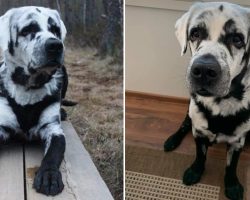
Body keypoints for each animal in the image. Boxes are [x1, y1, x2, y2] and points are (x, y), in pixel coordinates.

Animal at [0, 6, 68, 197]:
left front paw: (49, 176)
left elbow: (52, 154)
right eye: (27, 29)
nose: (55, 45)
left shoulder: (53, 130)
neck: (28, 89)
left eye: (55, 30)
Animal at [163, 1, 250, 200]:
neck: (220, 105)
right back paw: (173, 139)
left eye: (237, 39)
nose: (203, 70)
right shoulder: (199, 132)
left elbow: (231, 166)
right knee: (184, 124)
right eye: (195, 33)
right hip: (190, 111)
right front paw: (195, 171)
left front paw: (232, 184)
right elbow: (200, 156)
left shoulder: (238, 141)